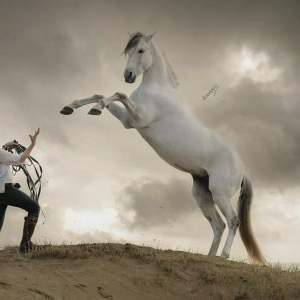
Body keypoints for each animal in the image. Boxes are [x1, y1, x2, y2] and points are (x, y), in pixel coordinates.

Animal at [60, 31, 264, 264]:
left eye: (141, 50)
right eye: (128, 52)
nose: (128, 75)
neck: (157, 88)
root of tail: (242, 170)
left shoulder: (139, 118)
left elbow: (117, 94)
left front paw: (96, 108)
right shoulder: (128, 121)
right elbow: (101, 95)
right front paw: (71, 107)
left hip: (220, 193)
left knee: (232, 221)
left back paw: (224, 256)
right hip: (202, 195)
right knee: (218, 225)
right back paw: (210, 256)